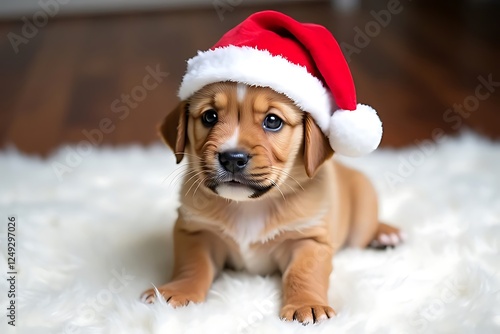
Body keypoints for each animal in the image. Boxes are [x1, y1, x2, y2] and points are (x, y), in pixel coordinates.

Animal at [142, 81, 402, 324]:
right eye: (210, 116)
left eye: (273, 121)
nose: (232, 158)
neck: (249, 205)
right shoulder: (196, 232)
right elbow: (193, 265)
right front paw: (177, 291)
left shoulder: (309, 240)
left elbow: (302, 273)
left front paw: (306, 304)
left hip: (361, 218)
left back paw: (386, 233)